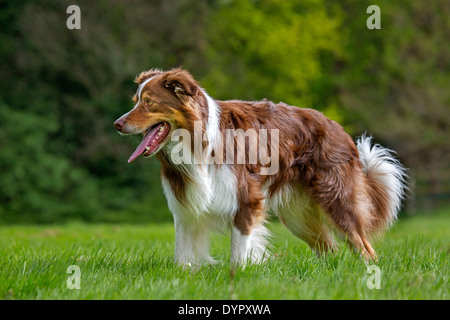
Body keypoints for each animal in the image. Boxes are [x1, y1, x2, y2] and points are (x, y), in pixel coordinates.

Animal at [113, 68, 408, 268]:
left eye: (149, 102)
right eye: (135, 101)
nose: (117, 123)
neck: (196, 140)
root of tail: (339, 127)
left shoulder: (247, 198)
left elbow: (239, 247)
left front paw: (237, 274)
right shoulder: (185, 203)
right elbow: (183, 251)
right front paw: (184, 274)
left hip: (337, 201)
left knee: (365, 248)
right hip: (297, 215)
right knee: (329, 249)